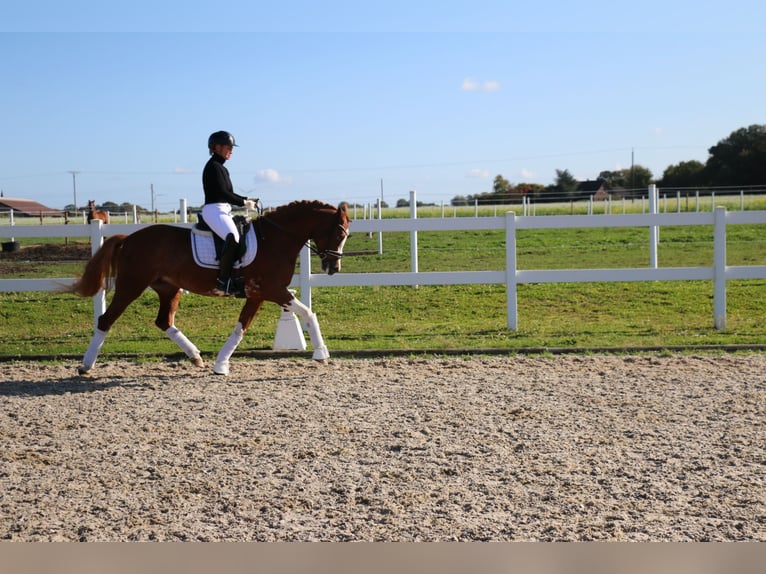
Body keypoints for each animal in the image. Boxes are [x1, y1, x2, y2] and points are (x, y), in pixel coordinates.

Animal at [69, 202, 352, 378]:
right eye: (340, 233)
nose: (334, 267)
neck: (275, 239)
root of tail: (128, 239)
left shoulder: (258, 294)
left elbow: (241, 328)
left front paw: (221, 364)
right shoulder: (273, 290)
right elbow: (308, 313)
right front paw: (321, 354)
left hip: (169, 289)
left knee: (164, 321)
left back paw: (195, 356)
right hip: (131, 286)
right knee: (106, 319)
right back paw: (85, 366)